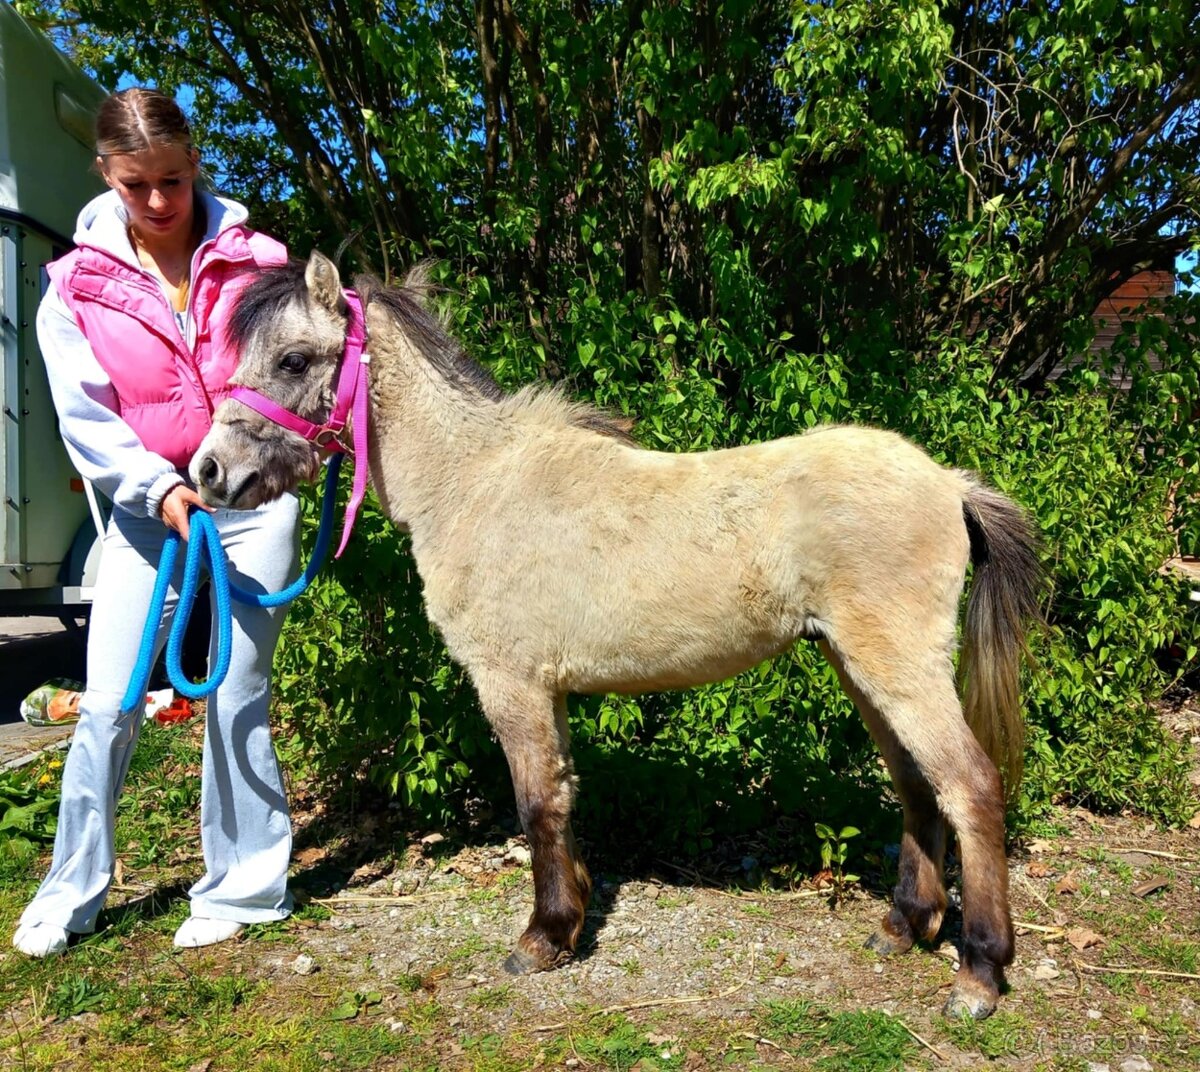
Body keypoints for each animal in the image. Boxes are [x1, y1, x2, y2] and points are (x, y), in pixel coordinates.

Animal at [190, 251, 1041, 1019]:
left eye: (293, 358)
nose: (209, 473)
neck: (476, 484)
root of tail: (948, 484)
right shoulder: (549, 690)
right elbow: (563, 793)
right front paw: (570, 918)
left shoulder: (510, 684)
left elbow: (535, 801)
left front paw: (541, 938)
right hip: (859, 667)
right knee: (916, 784)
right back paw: (904, 927)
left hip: (898, 667)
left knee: (970, 785)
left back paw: (978, 974)